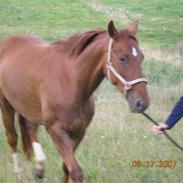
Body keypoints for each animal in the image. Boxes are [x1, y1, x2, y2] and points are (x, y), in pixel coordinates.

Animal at [0, 20, 149, 183]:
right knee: (12, 138)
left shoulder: (78, 132)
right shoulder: (56, 132)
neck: (70, 81)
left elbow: (66, 167)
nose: (142, 103)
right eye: (122, 58)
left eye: (141, 57)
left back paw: (39, 168)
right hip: (6, 106)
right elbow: (76, 171)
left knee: (29, 127)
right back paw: (19, 174)